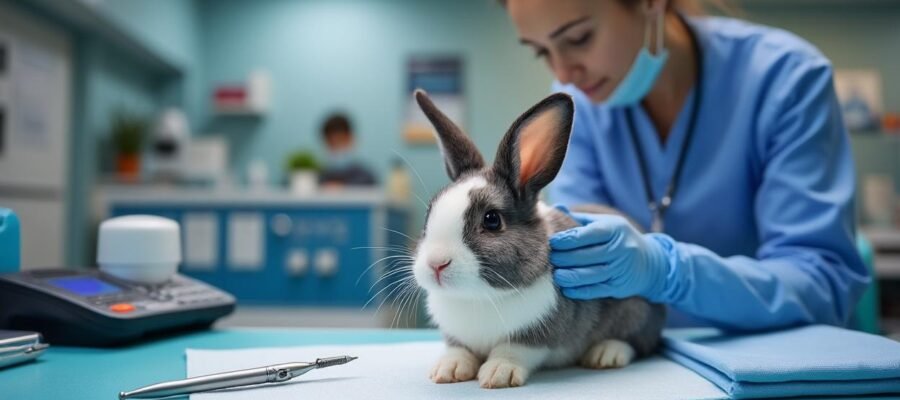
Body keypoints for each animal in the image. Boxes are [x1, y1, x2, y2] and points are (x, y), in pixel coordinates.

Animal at [409, 90, 666, 389]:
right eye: (429, 213)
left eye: (492, 220)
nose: (436, 264)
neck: (477, 297)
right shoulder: (456, 336)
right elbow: (458, 348)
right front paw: (448, 369)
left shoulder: (539, 334)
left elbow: (515, 349)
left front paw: (499, 373)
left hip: (636, 312)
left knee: (636, 341)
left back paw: (606, 354)